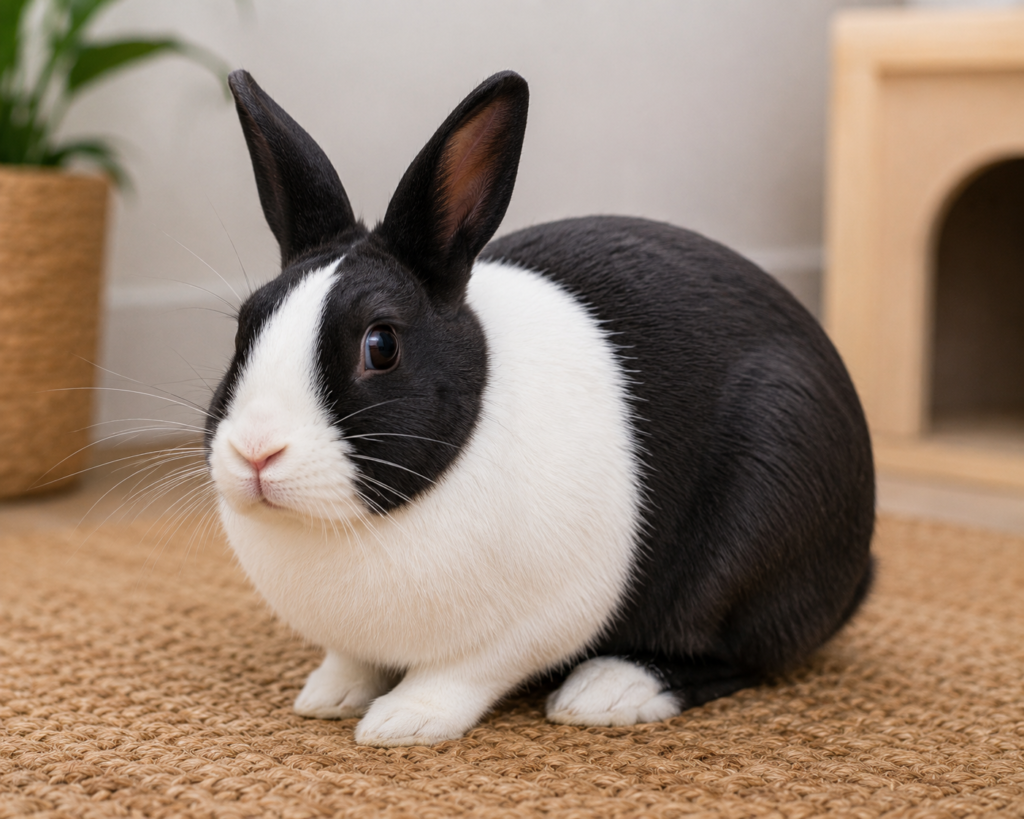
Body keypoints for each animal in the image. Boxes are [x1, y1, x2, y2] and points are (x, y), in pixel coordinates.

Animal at [205, 68, 875, 748]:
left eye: (381, 345)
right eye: (244, 328)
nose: (256, 452)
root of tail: (856, 562)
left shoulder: (526, 626)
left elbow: (460, 675)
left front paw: (402, 722)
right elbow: (351, 659)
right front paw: (328, 696)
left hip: (763, 512)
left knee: (736, 651)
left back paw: (608, 692)